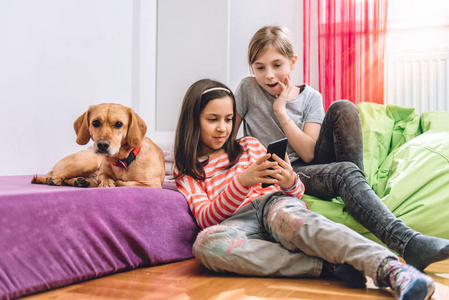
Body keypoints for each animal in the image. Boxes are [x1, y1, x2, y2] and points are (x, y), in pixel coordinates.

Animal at [32, 103, 164, 188]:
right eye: (95, 122)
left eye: (118, 124)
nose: (102, 144)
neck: (123, 160)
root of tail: (53, 168)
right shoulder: (101, 174)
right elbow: (106, 177)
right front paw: (107, 183)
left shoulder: (152, 184)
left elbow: (130, 183)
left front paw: (117, 182)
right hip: (86, 163)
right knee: (58, 175)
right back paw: (56, 179)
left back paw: (78, 181)